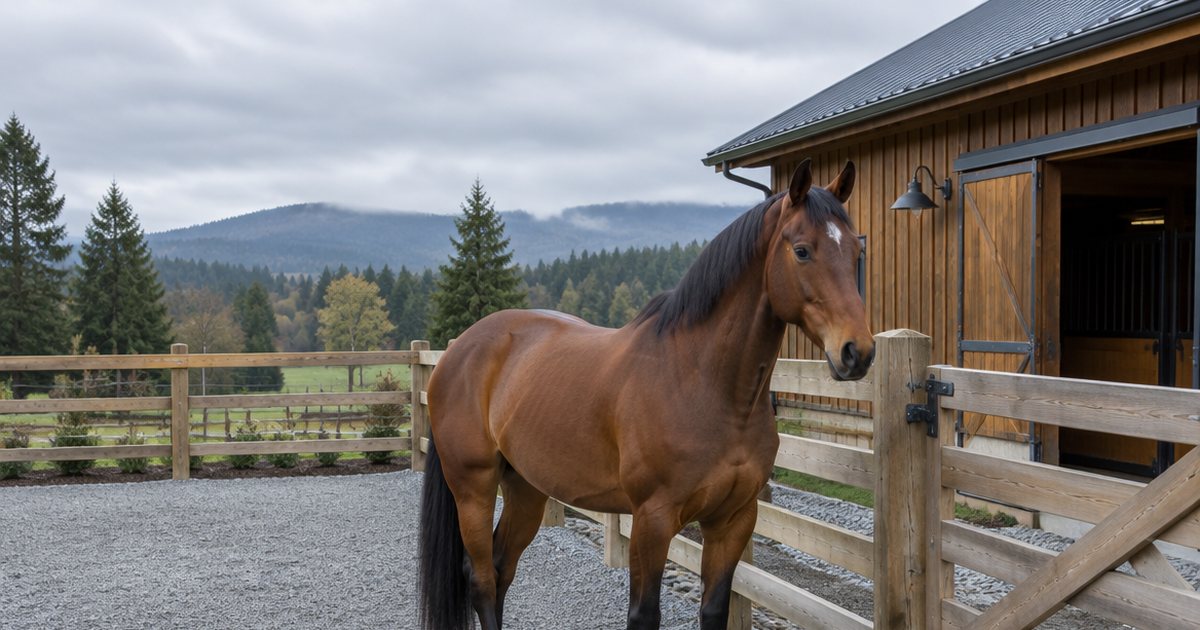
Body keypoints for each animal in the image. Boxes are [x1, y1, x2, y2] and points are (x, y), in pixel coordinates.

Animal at [418, 159, 874, 630]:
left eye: (855, 254)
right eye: (802, 251)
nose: (856, 351)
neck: (704, 384)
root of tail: (457, 349)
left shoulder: (733, 519)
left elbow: (715, 608)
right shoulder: (652, 520)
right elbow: (643, 613)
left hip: (526, 487)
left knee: (502, 568)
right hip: (473, 487)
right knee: (481, 578)